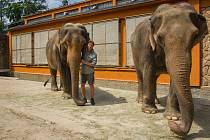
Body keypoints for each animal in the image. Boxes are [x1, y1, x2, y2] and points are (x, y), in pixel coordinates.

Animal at [130, 1, 208, 136]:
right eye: (160, 37)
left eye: (195, 36)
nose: (172, 126)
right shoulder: (147, 46)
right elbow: (148, 70)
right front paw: (149, 111)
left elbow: (174, 77)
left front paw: (173, 117)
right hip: (134, 51)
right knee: (141, 76)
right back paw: (140, 100)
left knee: (154, 78)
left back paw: (156, 101)